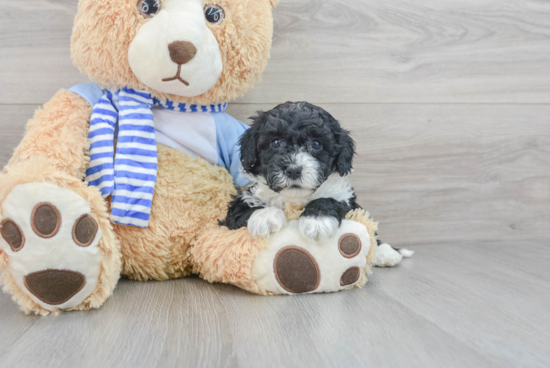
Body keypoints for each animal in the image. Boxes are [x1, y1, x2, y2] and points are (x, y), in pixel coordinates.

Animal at [222, 100, 364, 240]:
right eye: (276, 142)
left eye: (316, 144)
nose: (293, 170)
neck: (294, 199)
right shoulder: (236, 209)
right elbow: (243, 205)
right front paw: (265, 216)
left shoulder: (350, 203)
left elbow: (332, 200)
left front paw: (317, 220)